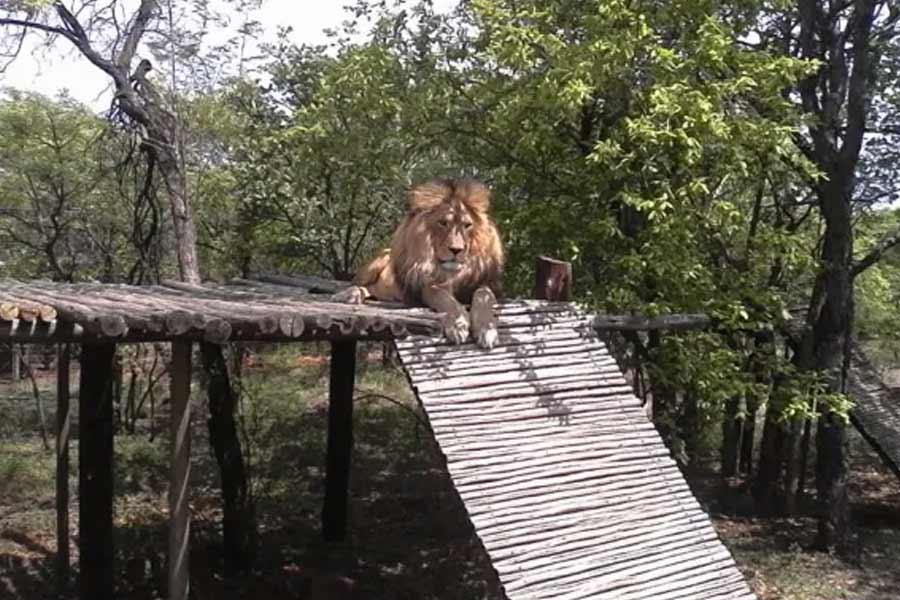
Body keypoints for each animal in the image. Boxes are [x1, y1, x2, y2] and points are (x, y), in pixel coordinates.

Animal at [334, 177, 504, 349]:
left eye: (467, 225)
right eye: (443, 223)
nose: (456, 250)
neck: (452, 273)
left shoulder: (488, 284)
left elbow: (483, 294)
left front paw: (486, 329)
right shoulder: (422, 288)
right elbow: (441, 295)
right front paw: (458, 323)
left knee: (372, 290)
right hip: (381, 259)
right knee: (358, 284)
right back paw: (349, 294)